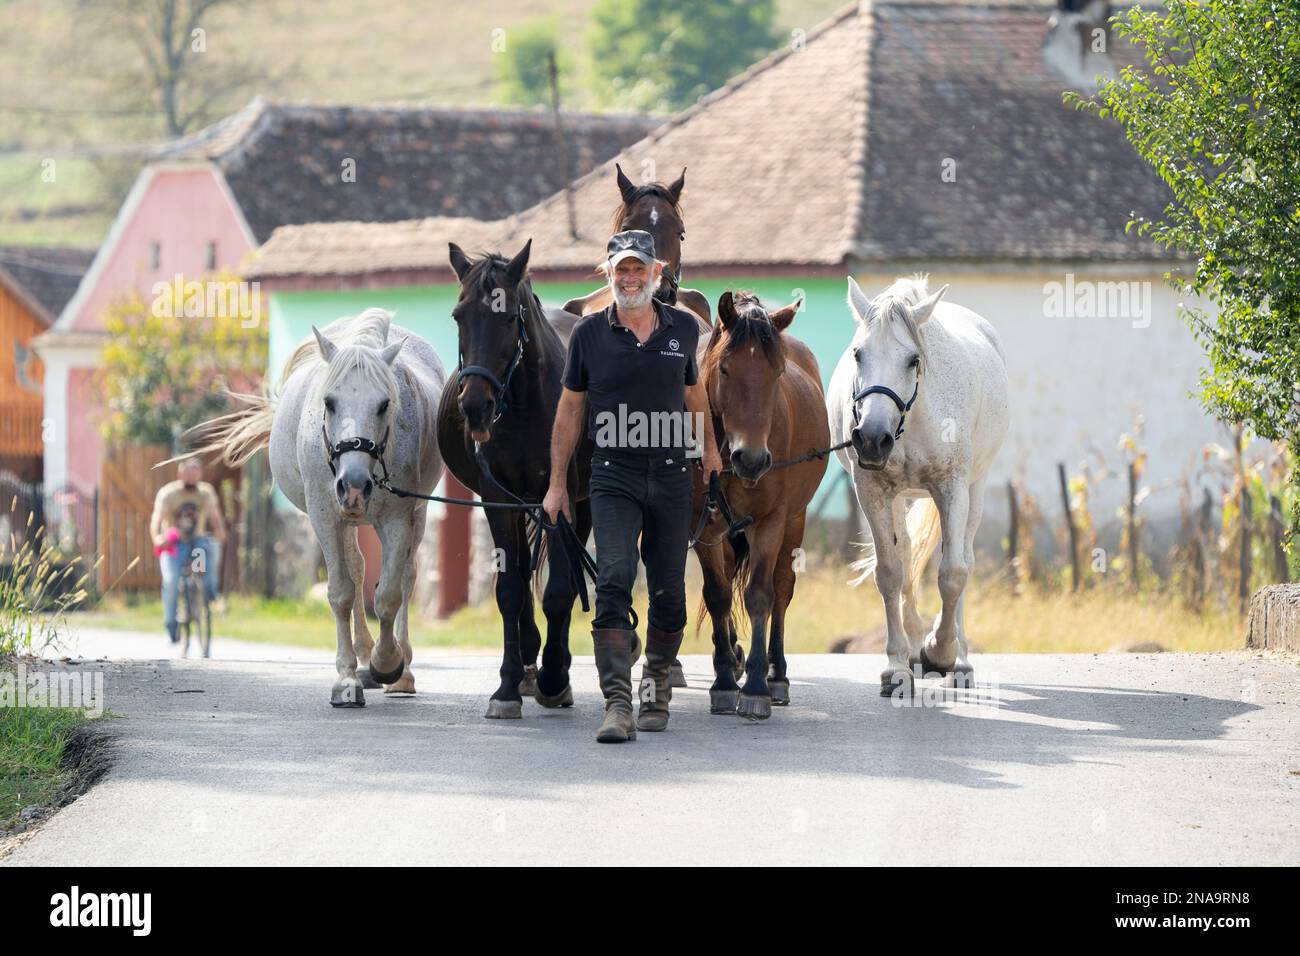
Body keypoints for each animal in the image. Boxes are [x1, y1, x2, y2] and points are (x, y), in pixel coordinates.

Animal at [198, 310, 447, 707]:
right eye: (329, 402)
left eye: (384, 404)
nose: (355, 485)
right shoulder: (325, 516)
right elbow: (341, 592)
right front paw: (347, 678)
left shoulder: (398, 517)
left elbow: (389, 594)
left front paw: (387, 663)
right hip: (344, 519)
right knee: (357, 570)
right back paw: (364, 651)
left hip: (416, 513)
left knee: (407, 576)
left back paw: (401, 671)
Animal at [439, 239, 595, 717]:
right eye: (459, 316)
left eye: (508, 317)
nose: (475, 407)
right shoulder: (497, 497)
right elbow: (510, 586)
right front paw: (507, 685)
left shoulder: (563, 496)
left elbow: (560, 589)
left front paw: (554, 676)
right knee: (524, 571)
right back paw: (528, 657)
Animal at [696, 290, 826, 717]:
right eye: (725, 370)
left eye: (777, 371)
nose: (751, 459)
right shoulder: (704, 526)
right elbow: (718, 595)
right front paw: (723, 680)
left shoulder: (771, 521)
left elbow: (760, 595)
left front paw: (755, 687)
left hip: (795, 520)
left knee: (782, 589)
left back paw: (777, 675)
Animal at [826, 277, 1008, 697]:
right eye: (858, 354)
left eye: (913, 360)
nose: (871, 439)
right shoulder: (873, 491)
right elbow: (891, 573)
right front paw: (897, 665)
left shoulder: (953, 487)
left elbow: (953, 573)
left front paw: (939, 653)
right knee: (907, 555)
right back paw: (911, 647)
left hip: (975, 488)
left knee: (964, 558)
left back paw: (959, 660)